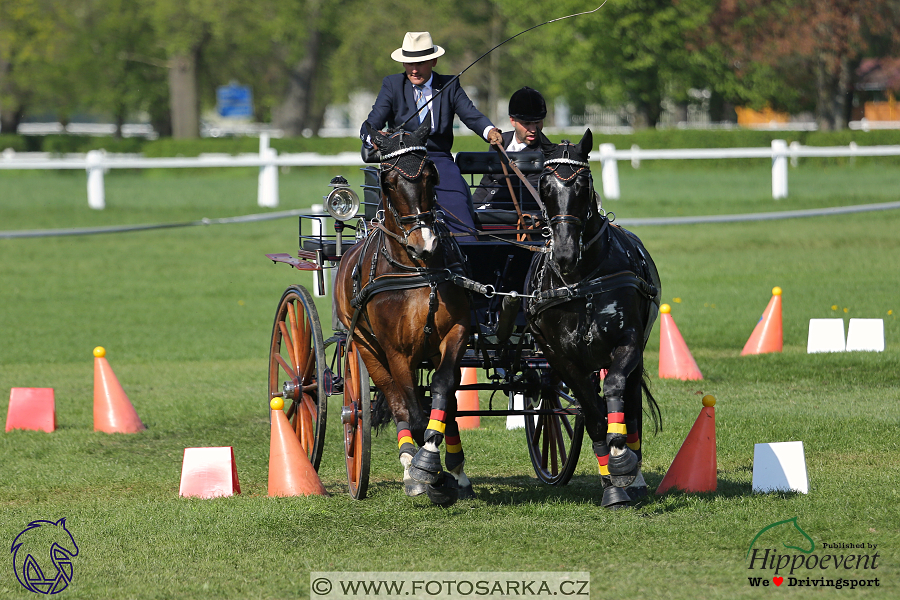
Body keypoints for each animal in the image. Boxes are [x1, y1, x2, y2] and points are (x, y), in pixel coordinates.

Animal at [528, 129, 660, 508]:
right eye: (544, 185)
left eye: (583, 184)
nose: (564, 253)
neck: (582, 279)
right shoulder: (560, 358)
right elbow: (593, 414)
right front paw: (612, 485)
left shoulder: (628, 342)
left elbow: (614, 390)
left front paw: (622, 460)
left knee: (629, 405)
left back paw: (633, 471)